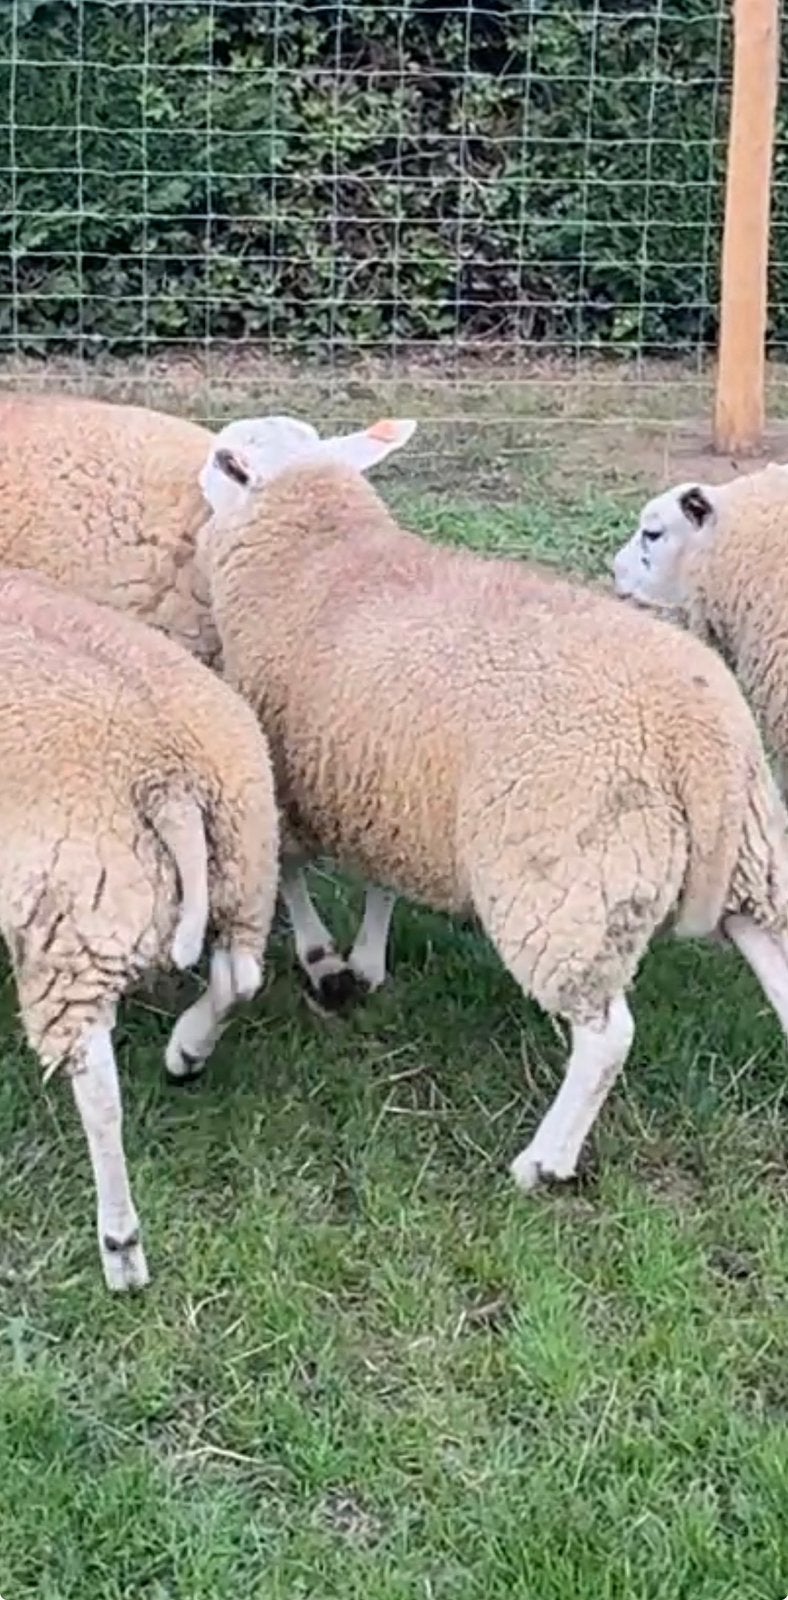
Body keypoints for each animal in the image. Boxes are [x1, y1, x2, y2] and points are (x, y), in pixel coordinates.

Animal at [0, 569, 279, 1290]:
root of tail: (167, 778)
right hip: (245, 864)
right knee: (240, 976)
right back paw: (188, 1051)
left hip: (71, 927)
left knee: (99, 1091)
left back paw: (121, 1246)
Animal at [192, 418, 788, 1192]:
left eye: (225, 461)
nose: (193, 474)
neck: (315, 553)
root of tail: (697, 732)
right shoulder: (386, 782)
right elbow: (382, 880)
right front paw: (367, 961)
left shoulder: (287, 777)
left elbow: (290, 878)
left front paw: (325, 961)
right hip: (748, 857)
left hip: (565, 887)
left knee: (605, 1037)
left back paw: (544, 1161)